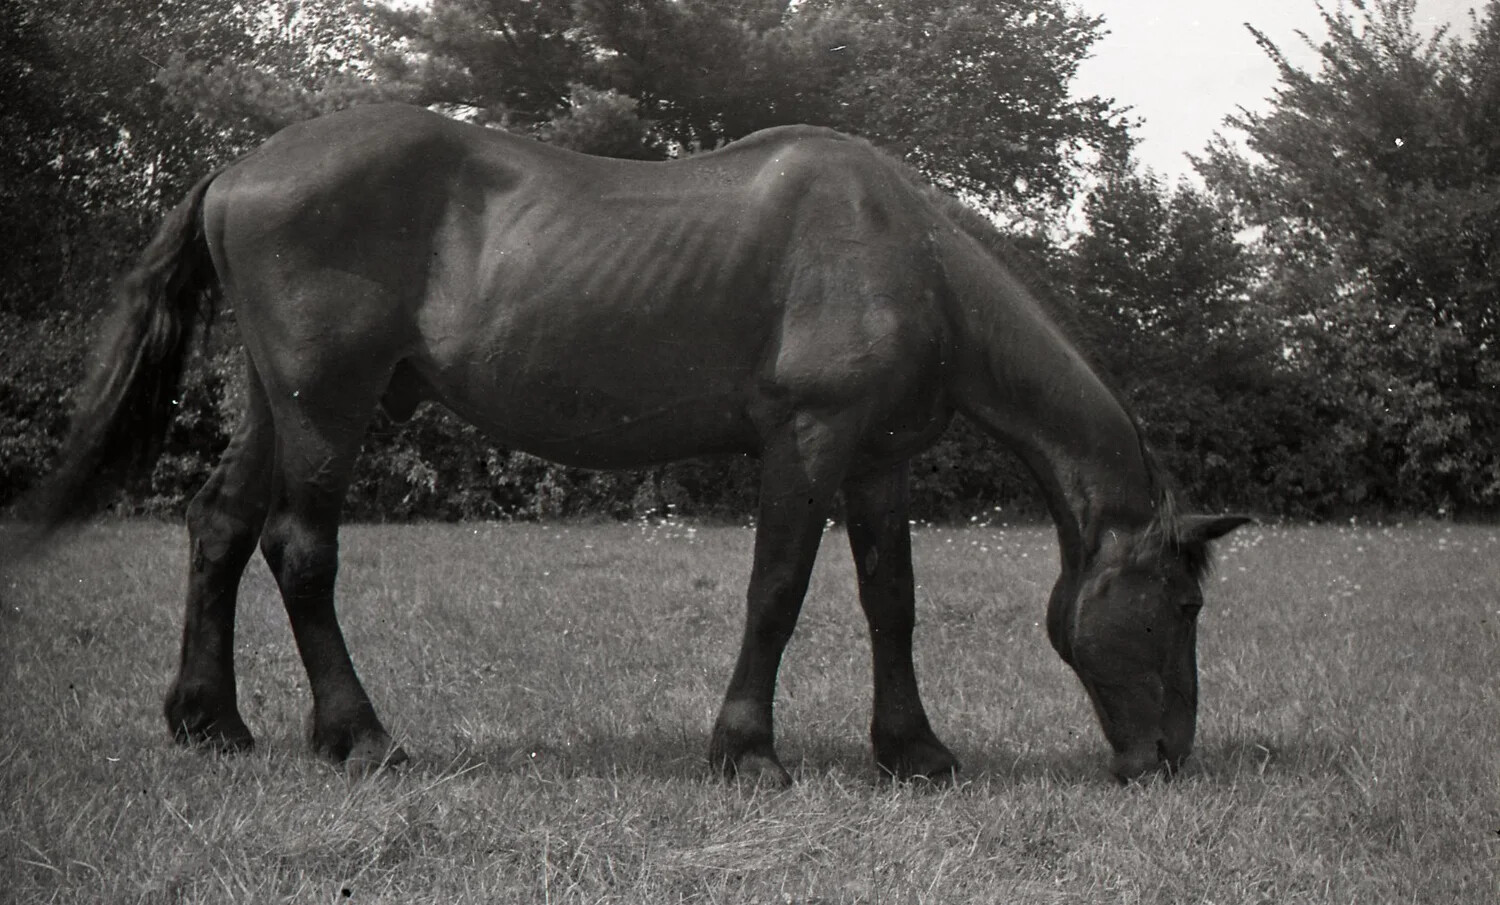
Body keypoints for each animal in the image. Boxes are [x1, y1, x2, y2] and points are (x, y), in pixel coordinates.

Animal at [20, 104, 1247, 785]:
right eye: (1184, 603)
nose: (1170, 757)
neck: (902, 253)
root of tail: (238, 170)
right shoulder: (808, 444)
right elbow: (778, 590)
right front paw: (747, 750)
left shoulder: (878, 458)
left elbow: (889, 601)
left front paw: (916, 751)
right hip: (329, 406)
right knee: (300, 552)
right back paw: (358, 736)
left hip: (278, 404)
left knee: (220, 527)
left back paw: (211, 721)